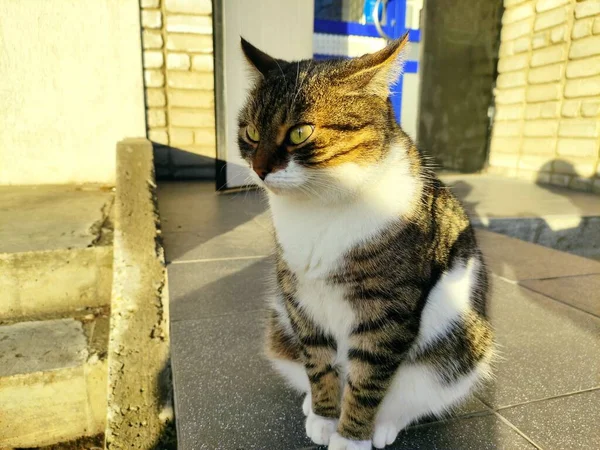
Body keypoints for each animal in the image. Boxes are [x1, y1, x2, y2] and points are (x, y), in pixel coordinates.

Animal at [237, 33, 494, 448]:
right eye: (251, 133)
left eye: (299, 132)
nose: (260, 169)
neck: (320, 207)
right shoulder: (300, 299)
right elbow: (318, 363)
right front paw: (324, 416)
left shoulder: (387, 309)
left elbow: (368, 379)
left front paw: (350, 438)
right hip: (280, 327)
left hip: (457, 348)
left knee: (413, 395)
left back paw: (385, 425)